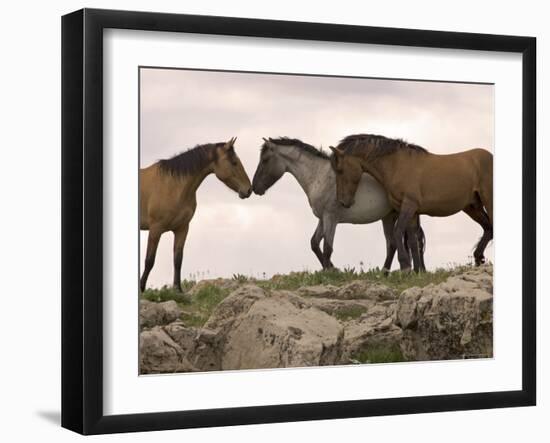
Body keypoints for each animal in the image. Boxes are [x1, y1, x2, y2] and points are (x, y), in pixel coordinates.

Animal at [140, 137, 252, 294]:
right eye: (234, 162)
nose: (249, 190)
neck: (173, 186)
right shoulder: (156, 228)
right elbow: (149, 260)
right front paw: (141, 288)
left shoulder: (182, 228)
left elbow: (178, 259)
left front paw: (178, 290)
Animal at [254, 137, 426, 272]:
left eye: (264, 160)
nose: (254, 188)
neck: (319, 176)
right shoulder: (322, 218)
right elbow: (315, 243)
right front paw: (332, 268)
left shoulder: (331, 217)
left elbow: (327, 247)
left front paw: (330, 272)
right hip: (389, 217)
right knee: (396, 243)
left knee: (406, 241)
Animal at [332, 134, 496, 272]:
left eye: (339, 170)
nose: (343, 202)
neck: (397, 165)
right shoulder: (412, 212)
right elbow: (412, 240)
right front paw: (418, 271)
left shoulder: (409, 205)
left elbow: (398, 232)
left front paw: (405, 266)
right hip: (472, 207)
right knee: (488, 228)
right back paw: (478, 257)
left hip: (488, 201)